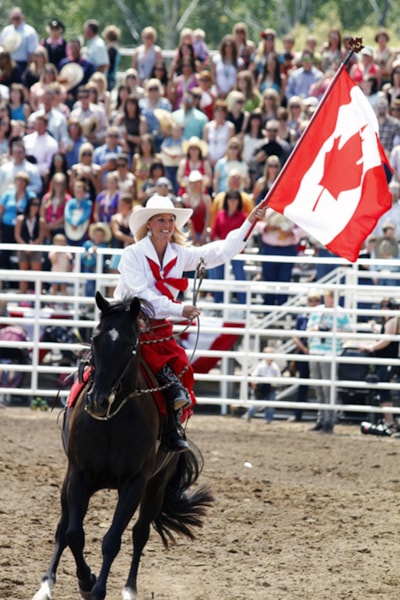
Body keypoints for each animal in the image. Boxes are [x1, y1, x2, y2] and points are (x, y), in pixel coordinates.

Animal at [32, 291, 214, 600]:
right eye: (95, 338)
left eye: (131, 346)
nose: (98, 400)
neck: (110, 422)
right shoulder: (79, 475)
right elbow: (73, 534)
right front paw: (85, 581)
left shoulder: (135, 483)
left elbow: (113, 539)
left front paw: (97, 588)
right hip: (71, 481)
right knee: (63, 527)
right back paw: (46, 584)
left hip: (155, 487)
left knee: (140, 534)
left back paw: (129, 589)